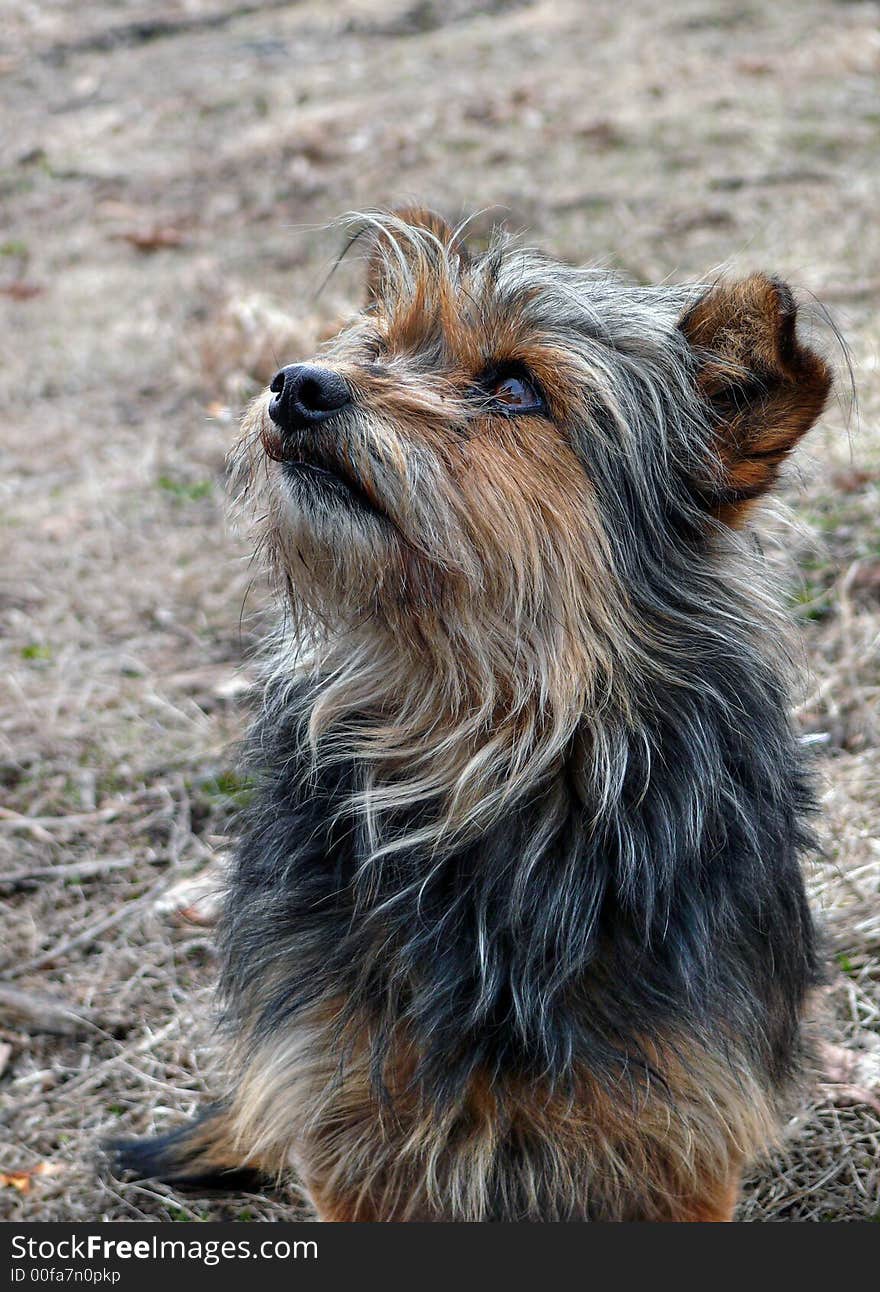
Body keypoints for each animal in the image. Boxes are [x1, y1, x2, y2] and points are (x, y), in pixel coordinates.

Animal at [115, 206, 832, 1214]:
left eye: (516, 387)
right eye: (379, 348)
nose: (298, 385)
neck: (476, 747)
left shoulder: (682, 1133)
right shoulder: (352, 1130)